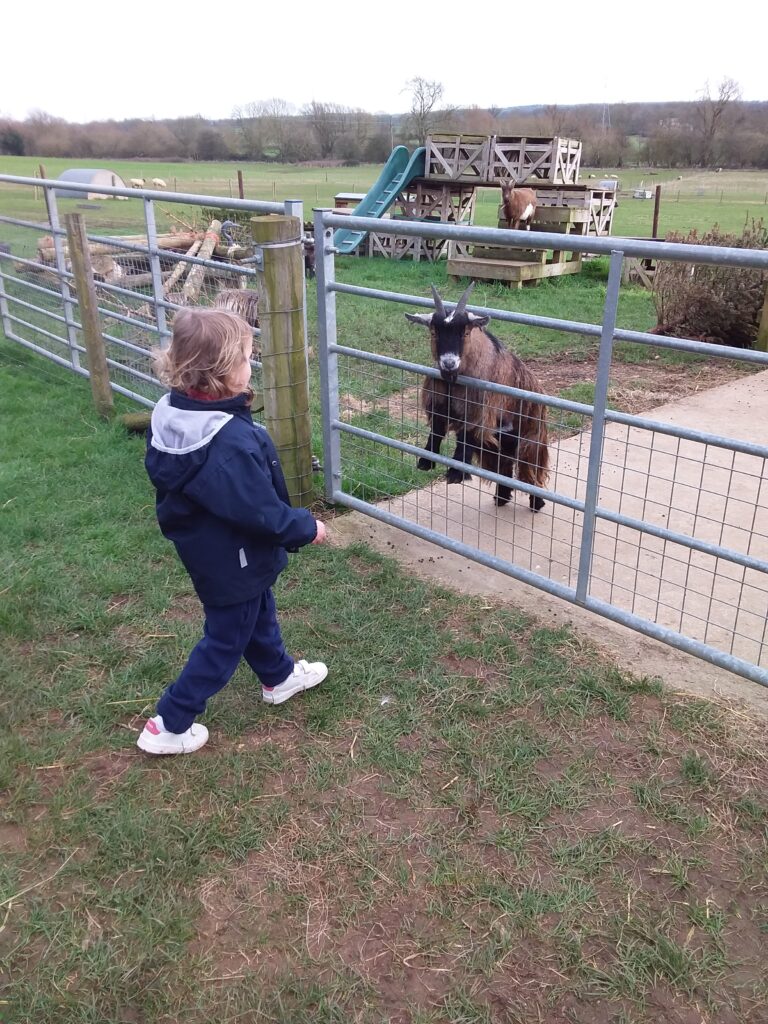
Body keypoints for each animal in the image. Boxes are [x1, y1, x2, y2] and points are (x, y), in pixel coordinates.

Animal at [405, 284, 548, 512]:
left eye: (465, 331)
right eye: (434, 330)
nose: (449, 363)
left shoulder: (478, 411)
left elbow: (466, 437)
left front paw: (455, 474)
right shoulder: (440, 404)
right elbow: (436, 430)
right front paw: (425, 461)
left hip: (530, 436)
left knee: (529, 469)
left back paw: (536, 503)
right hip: (503, 438)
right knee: (506, 464)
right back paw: (501, 498)